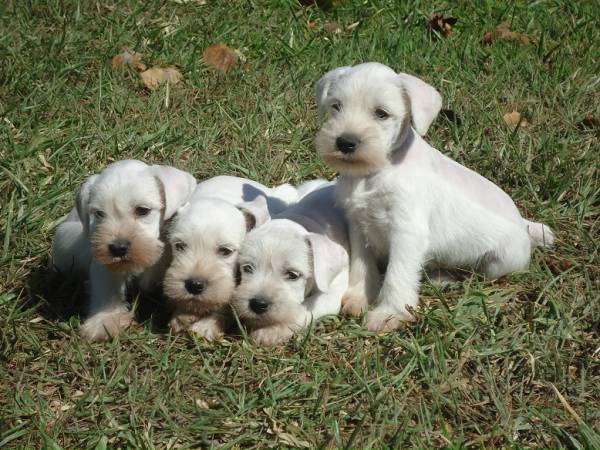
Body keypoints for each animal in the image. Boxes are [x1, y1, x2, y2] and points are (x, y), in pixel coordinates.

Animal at [52, 160, 196, 340]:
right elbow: (107, 286)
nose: (118, 248)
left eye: (143, 210)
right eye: (99, 213)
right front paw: (105, 320)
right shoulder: (103, 262)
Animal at [232, 185, 350, 346]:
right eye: (247, 268)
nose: (257, 304)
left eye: (292, 275)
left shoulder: (332, 293)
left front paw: (271, 330)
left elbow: (302, 311)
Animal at [316, 62, 556, 330]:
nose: (345, 143)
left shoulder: (406, 231)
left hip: (500, 262)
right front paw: (358, 298)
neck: (376, 171)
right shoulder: (358, 225)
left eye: (381, 113)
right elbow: (361, 264)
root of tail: (523, 224)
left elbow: (397, 274)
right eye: (336, 106)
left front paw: (388, 315)